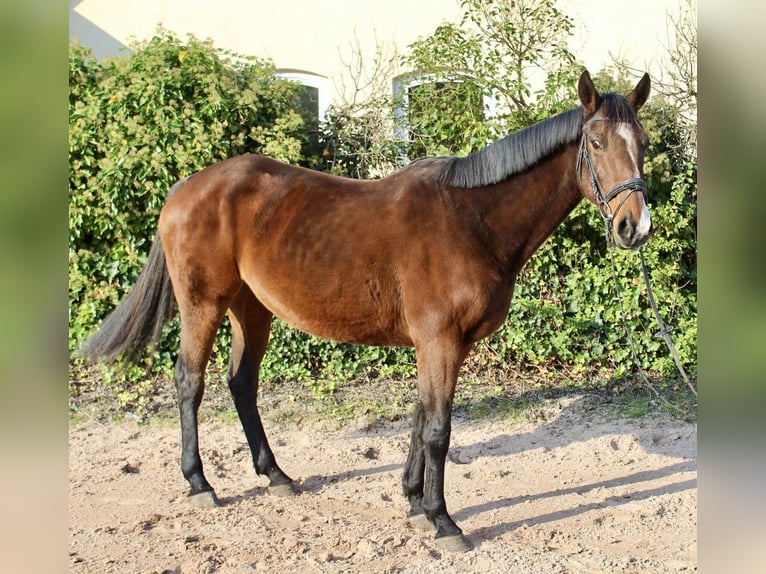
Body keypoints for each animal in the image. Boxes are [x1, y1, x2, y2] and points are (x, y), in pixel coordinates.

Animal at [79, 71, 656, 552]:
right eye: (596, 143)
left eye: (643, 144)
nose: (635, 226)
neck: (470, 218)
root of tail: (188, 186)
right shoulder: (439, 340)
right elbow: (438, 428)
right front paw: (443, 520)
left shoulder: (440, 345)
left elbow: (422, 417)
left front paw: (413, 502)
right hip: (203, 303)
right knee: (190, 382)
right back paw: (199, 482)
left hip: (252, 308)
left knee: (241, 382)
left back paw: (276, 476)